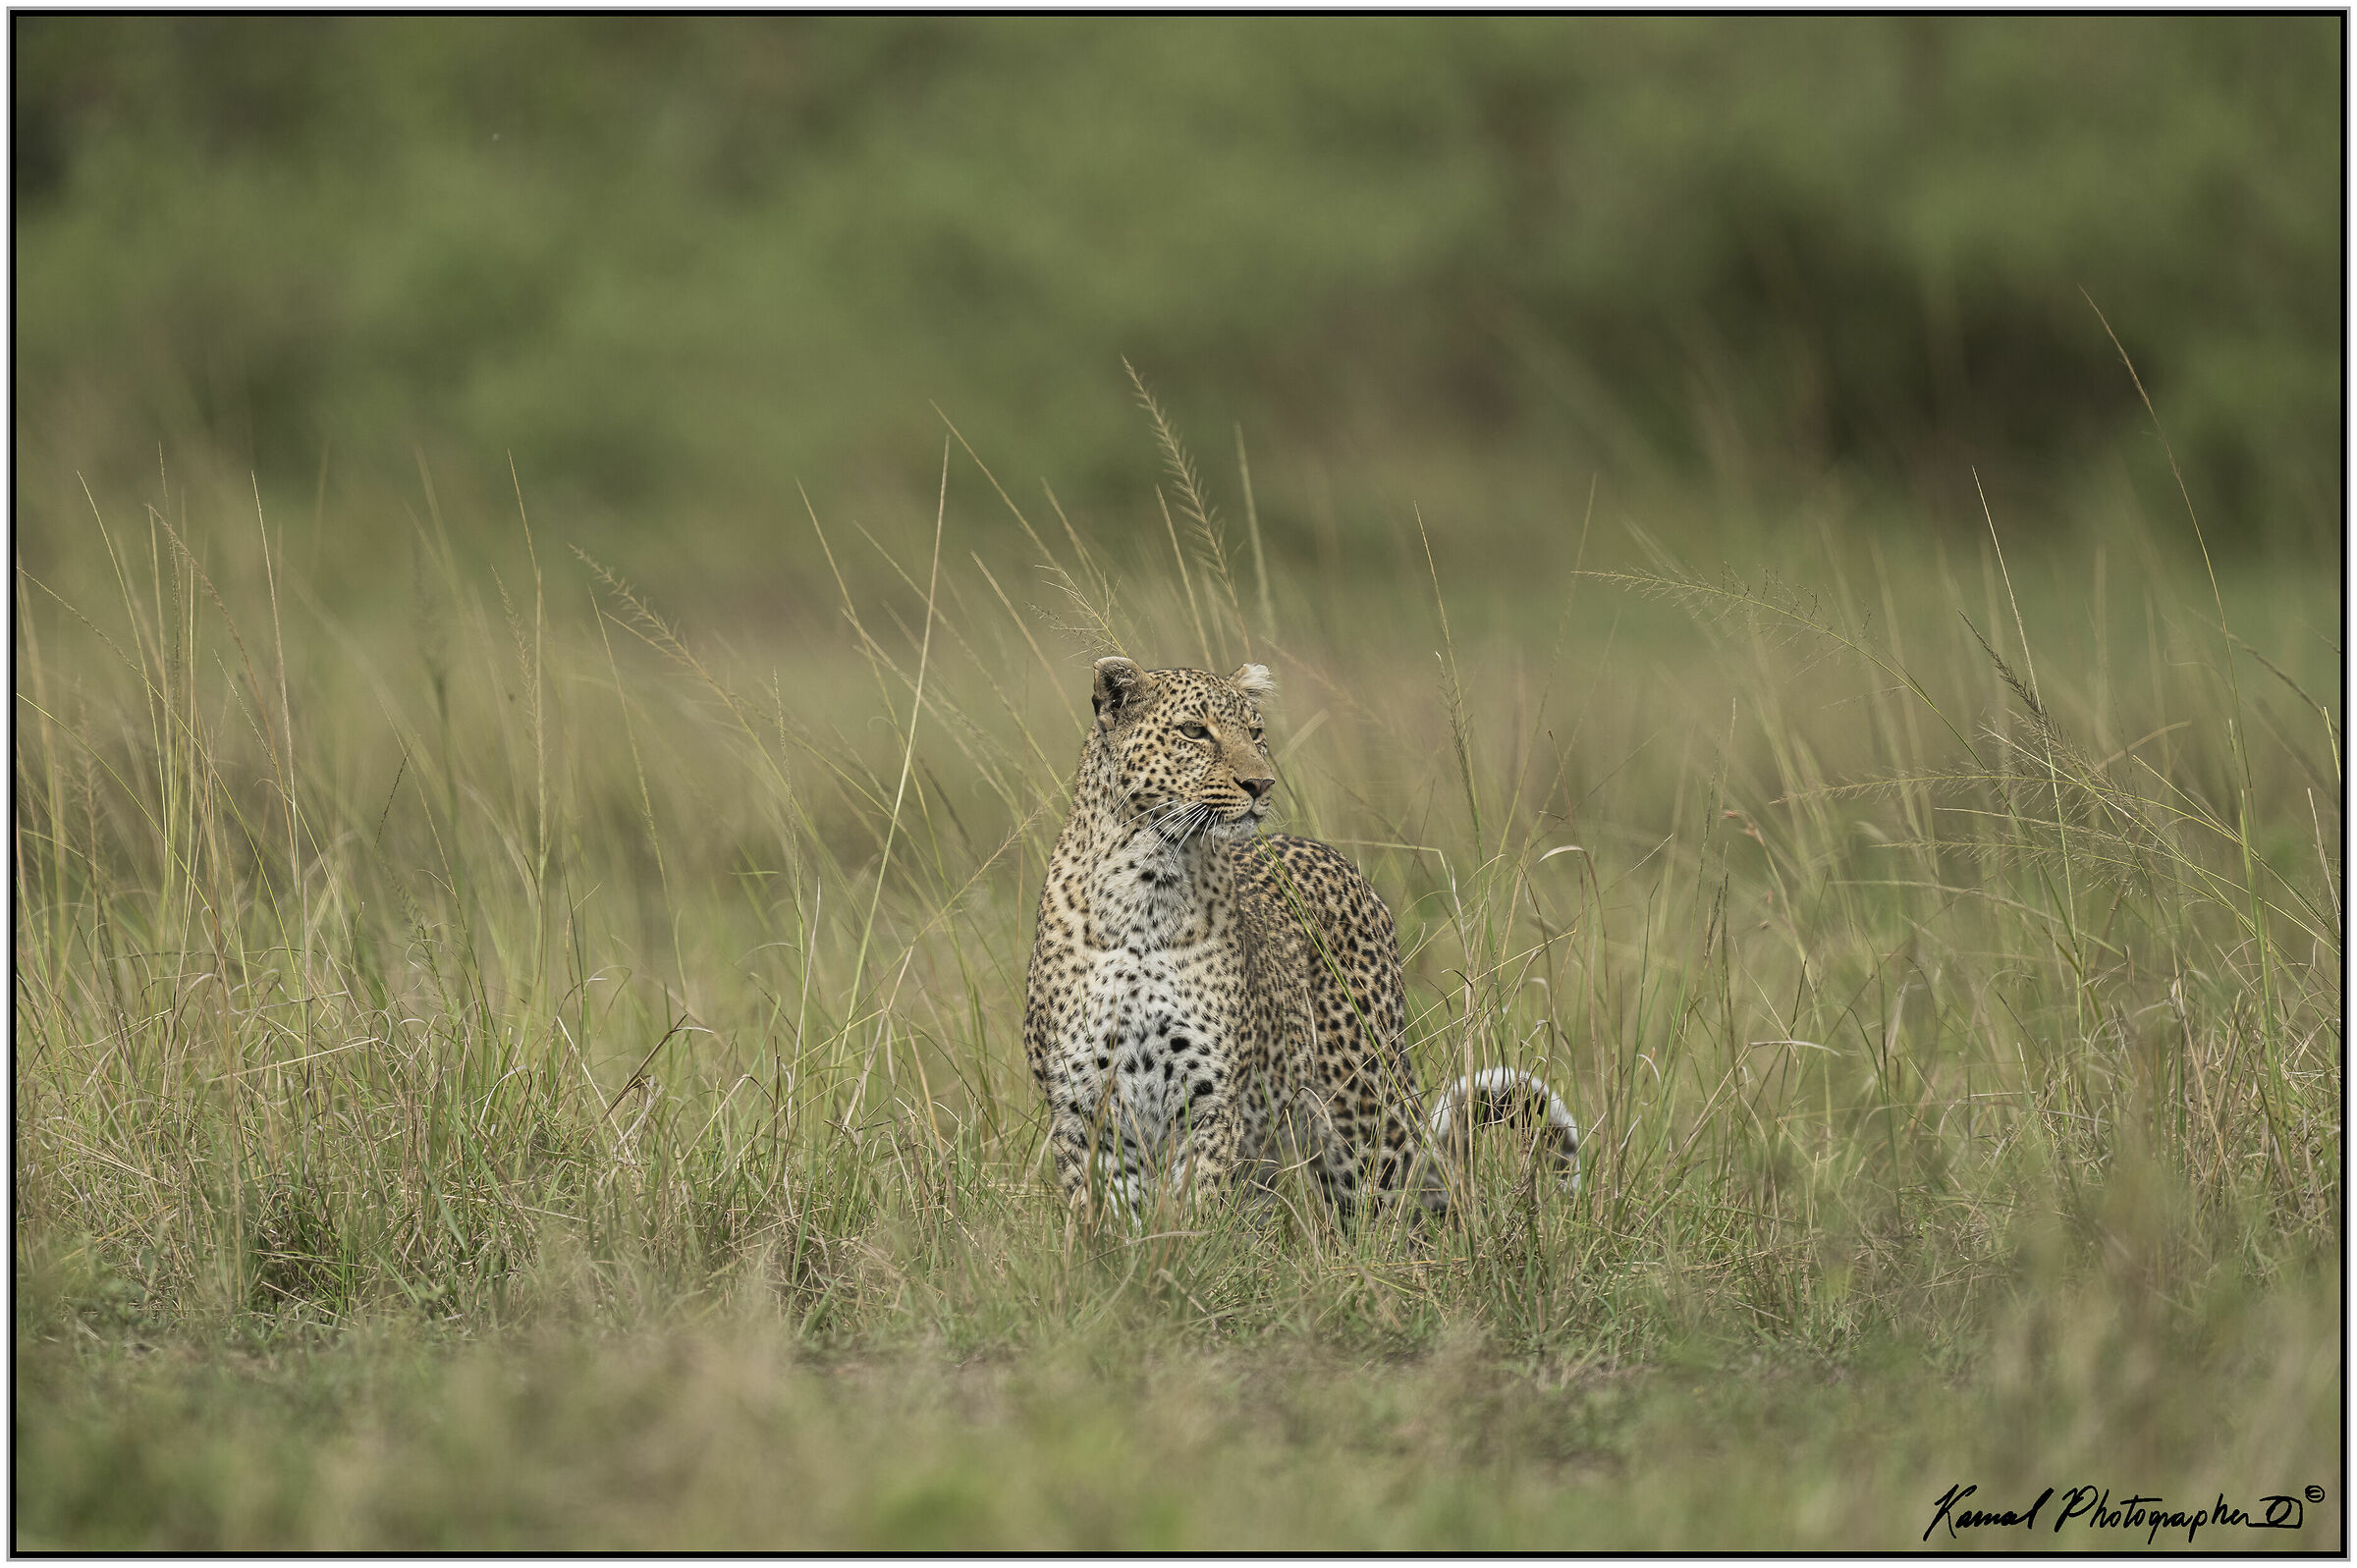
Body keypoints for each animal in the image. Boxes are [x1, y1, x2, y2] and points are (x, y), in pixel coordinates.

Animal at [1022, 655, 1580, 1222]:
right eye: (1194, 732)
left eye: (1255, 732)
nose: (1260, 783)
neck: (1147, 886)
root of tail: (1339, 861)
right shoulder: (1082, 1106)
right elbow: (1104, 1216)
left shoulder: (1210, 1101)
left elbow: (1195, 1207)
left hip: (1366, 1113)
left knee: (1400, 1209)